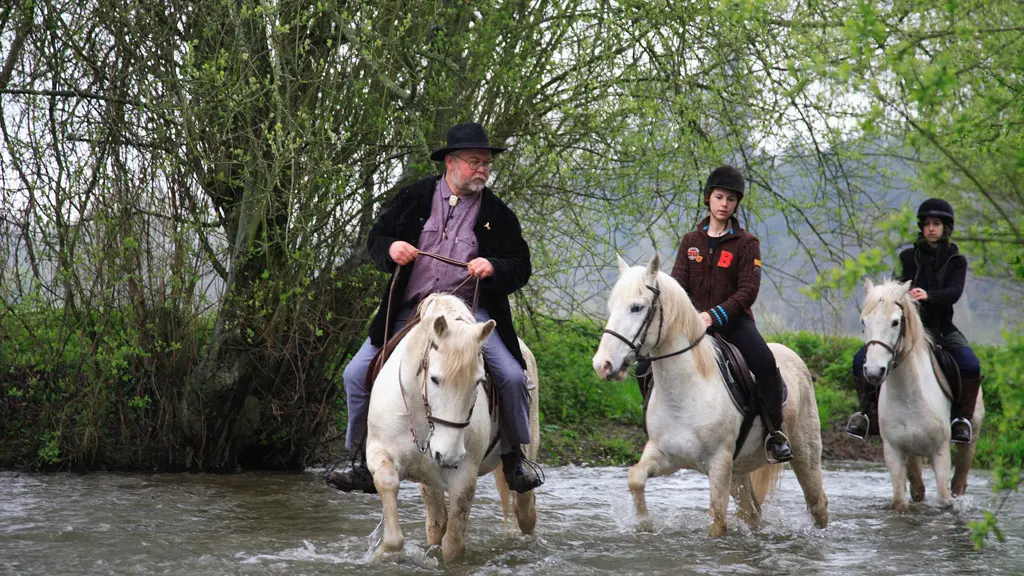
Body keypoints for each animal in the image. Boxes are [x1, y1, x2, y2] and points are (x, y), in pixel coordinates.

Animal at [368, 293, 544, 557]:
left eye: (479, 382)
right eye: (434, 378)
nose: (448, 455)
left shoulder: (464, 476)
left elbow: (453, 545)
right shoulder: (380, 451)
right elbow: (387, 483)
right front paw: (382, 553)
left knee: (525, 512)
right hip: (430, 482)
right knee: (436, 523)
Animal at [589, 255, 827, 532]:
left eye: (637, 307)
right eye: (612, 306)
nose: (602, 364)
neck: (685, 394)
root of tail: (794, 357)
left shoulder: (719, 463)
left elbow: (718, 520)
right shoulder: (665, 454)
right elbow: (635, 478)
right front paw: (644, 524)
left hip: (804, 455)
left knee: (817, 503)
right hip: (740, 470)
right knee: (752, 512)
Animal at [864, 276, 983, 508]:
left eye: (895, 322)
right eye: (864, 322)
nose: (873, 372)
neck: (908, 395)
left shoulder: (940, 451)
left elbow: (944, 497)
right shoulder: (894, 451)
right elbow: (900, 500)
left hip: (971, 437)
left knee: (959, 481)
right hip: (911, 452)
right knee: (918, 487)